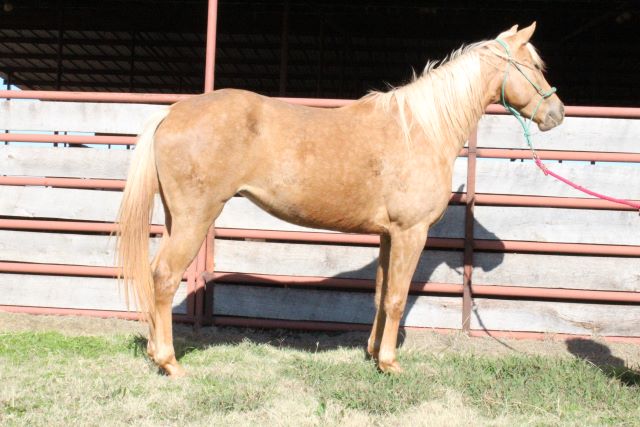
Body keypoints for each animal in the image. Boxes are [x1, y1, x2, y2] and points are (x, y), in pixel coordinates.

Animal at [117, 22, 564, 378]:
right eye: (535, 67)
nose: (557, 114)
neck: (421, 129)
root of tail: (173, 112)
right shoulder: (411, 232)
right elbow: (398, 298)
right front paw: (390, 364)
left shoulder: (388, 235)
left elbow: (381, 293)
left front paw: (372, 354)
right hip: (196, 218)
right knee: (164, 277)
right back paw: (170, 363)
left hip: (175, 218)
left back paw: (157, 354)